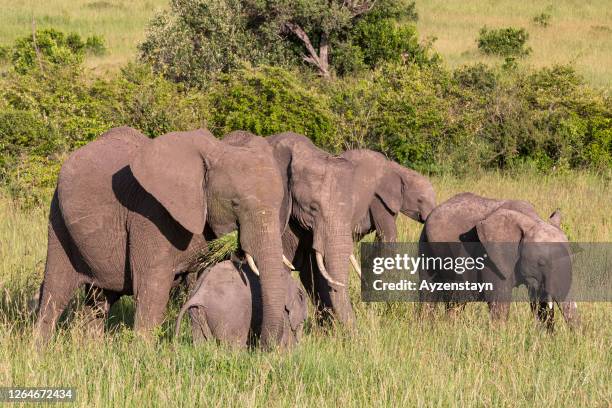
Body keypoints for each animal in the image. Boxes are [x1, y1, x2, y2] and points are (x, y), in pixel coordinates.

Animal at [35, 125, 290, 348]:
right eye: (235, 203)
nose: (261, 347)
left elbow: (203, 283)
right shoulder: (149, 215)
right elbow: (152, 288)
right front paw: (143, 356)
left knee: (98, 301)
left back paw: (91, 349)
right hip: (58, 219)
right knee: (55, 293)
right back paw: (40, 351)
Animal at [175, 262, 308, 348]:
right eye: (303, 321)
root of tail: (201, 293)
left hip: (196, 313)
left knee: (201, 342)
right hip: (230, 317)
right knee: (235, 345)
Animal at [418, 191, 580, 328]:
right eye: (541, 263)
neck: (531, 220)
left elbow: (538, 302)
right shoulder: (490, 255)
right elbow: (499, 300)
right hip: (426, 244)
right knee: (430, 294)